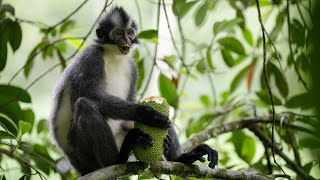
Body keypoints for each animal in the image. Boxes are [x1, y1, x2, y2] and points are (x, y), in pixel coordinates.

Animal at [48, 6, 219, 175]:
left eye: (129, 33)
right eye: (118, 33)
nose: (126, 41)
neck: (113, 55)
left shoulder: (132, 67)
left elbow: (134, 102)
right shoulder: (90, 59)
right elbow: (88, 94)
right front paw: (146, 113)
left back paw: (181, 157)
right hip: (85, 157)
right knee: (85, 104)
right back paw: (116, 159)